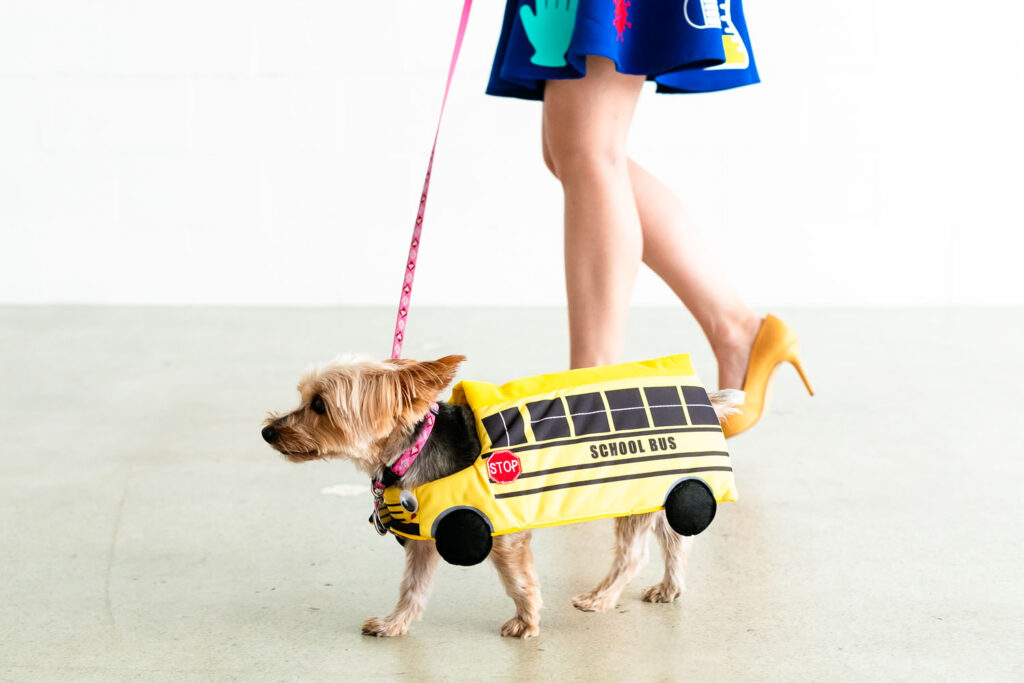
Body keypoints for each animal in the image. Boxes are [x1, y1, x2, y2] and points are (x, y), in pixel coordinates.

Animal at [264, 356, 745, 638]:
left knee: (634, 554)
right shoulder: (424, 540)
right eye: (305, 398)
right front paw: (395, 623)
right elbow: (412, 587)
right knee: (676, 539)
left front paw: (527, 623)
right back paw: (670, 588)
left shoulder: (498, 533)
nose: (268, 431)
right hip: (657, 491)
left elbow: (518, 581)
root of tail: (703, 396)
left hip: (632, 491)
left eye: (321, 406)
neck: (414, 446)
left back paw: (600, 599)